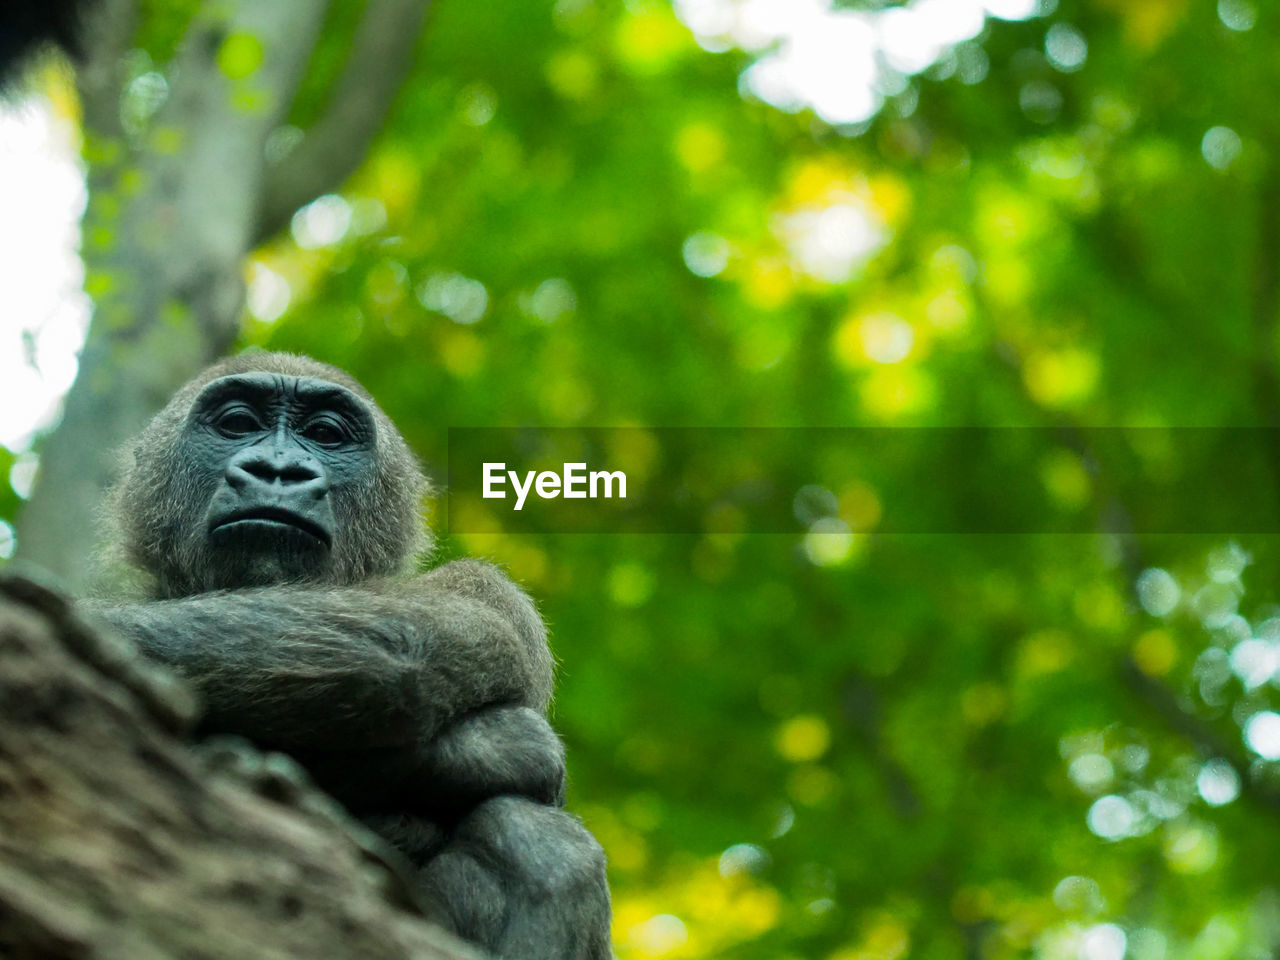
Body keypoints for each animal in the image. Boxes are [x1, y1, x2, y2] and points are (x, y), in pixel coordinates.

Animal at [82, 352, 611, 960]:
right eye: (238, 424)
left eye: (326, 434)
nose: (278, 471)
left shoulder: (489, 593)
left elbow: (401, 653)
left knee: (537, 840)